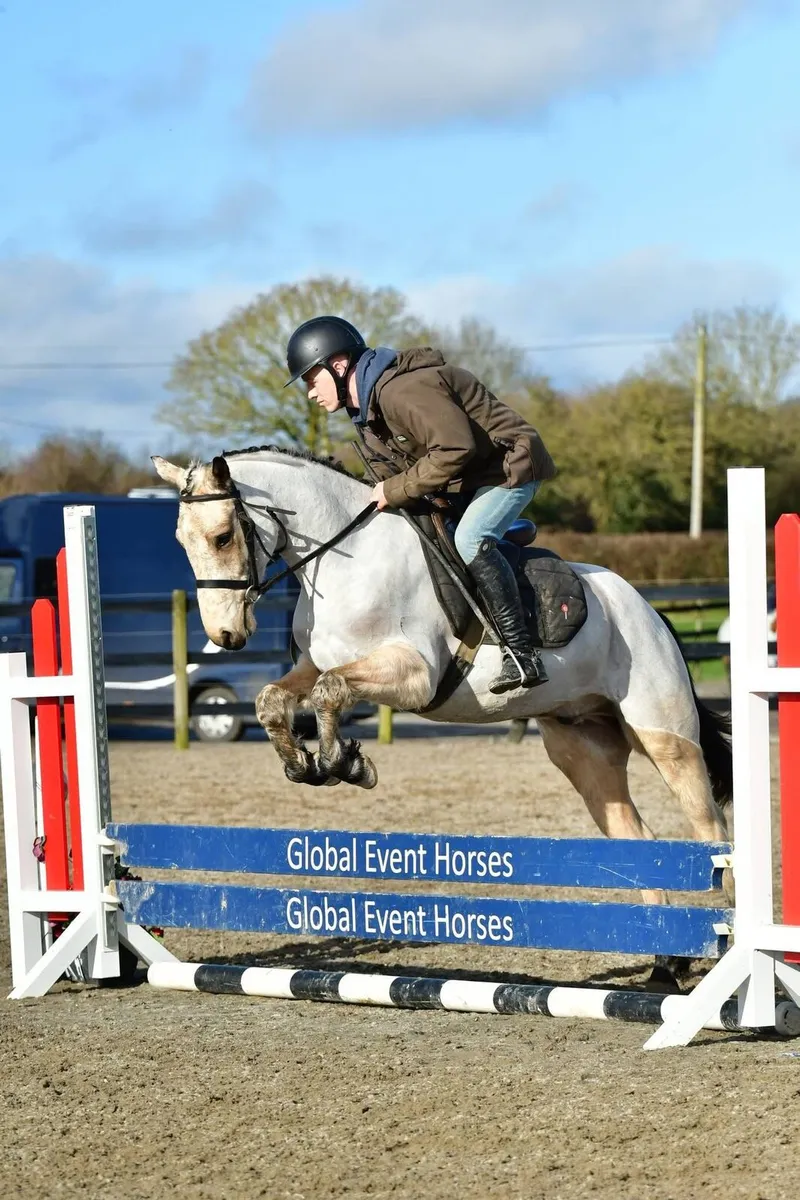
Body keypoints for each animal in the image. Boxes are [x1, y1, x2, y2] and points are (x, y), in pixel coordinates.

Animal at [152, 446, 732, 923]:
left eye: (223, 536)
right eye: (181, 541)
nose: (225, 635)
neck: (347, 558)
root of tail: (649, 610)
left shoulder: (413, 673)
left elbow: (330, 691)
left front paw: (344, 763)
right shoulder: (317, 663)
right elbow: (277, 698)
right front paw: (304, 763)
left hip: (664, 738)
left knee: (712, 834)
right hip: (582, 748)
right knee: (639, 838)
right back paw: (664, 962)